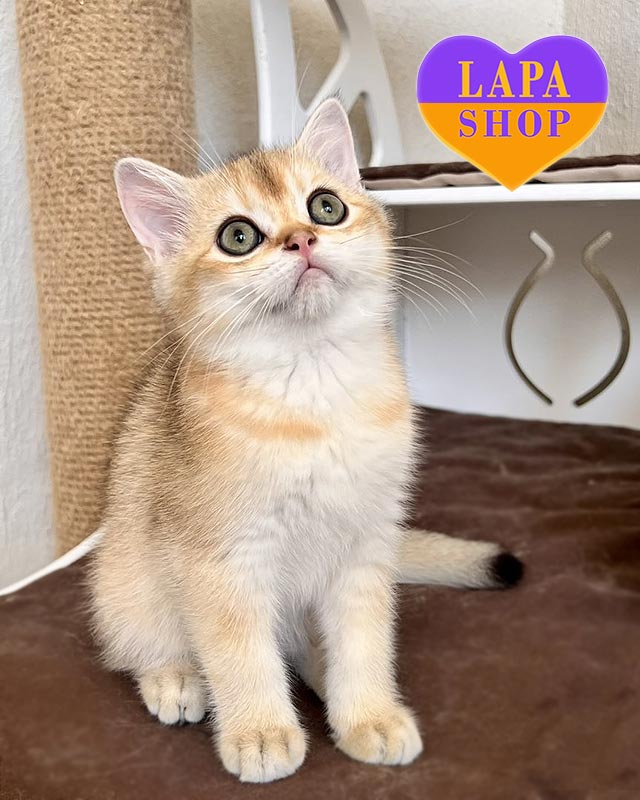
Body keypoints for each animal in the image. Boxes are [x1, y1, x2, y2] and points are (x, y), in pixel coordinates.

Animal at [90, 98, 522, 783]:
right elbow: (241, 654)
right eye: (237, 236)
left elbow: (365, 640)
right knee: (143, 640)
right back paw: (176, 680)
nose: (302, 238)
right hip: (125, 578)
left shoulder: (367, 543)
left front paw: (369, 715)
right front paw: (261, 734)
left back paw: (322, 676)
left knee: (302, 650)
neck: (315, 397)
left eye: (326, 206)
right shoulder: (221, 560)